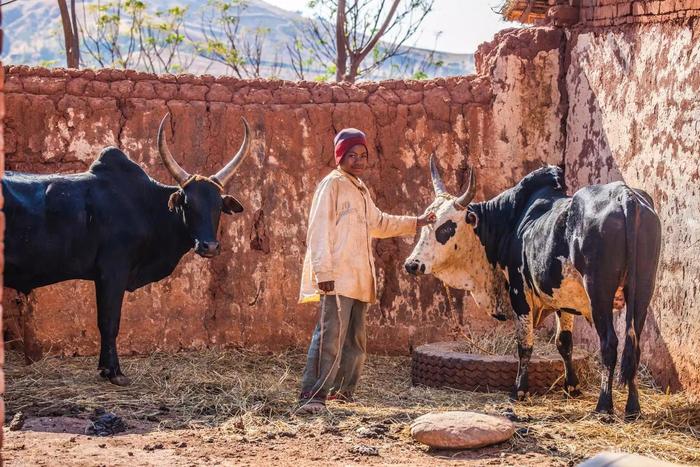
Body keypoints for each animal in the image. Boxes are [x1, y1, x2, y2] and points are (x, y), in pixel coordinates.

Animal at [404, 157, 660, 416]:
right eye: (425, 222)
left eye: (446, 227)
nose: (412, 264)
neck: (509, 222)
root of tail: (624, 195)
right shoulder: (562, 300)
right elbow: (564, 343)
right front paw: (572, 387)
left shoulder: (520, 293)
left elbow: (525, 345)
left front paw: (519, 390)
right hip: (643, 292)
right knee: (634, 345)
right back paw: (633, 408)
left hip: (599, 294)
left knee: (610, 344)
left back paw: (604, 406)